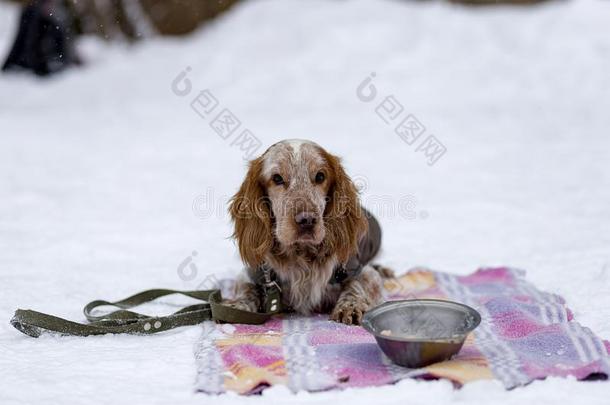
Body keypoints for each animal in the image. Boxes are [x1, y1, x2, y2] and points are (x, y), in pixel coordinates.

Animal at [224, 140, 390, 324]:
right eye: (277, 178)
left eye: (320, 176)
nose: (307, 220)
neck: (301, 254)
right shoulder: (252, 273)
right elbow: (246, 288)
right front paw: (238, 306)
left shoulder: (362, 271)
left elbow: (356, 285)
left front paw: (350, 306)